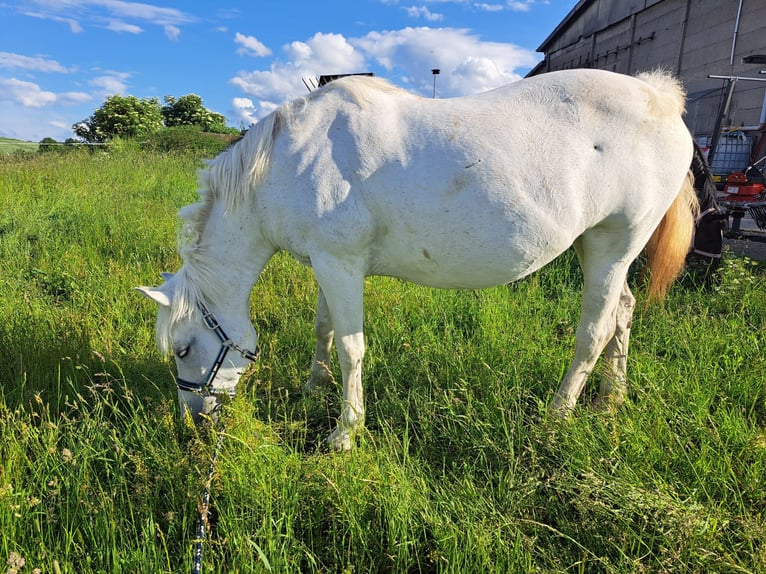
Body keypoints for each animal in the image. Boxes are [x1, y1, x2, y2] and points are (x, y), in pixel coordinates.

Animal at [138, 70, 704, 452]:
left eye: (184, 349)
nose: (196, 419)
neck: (286, 162)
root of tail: (661, 96)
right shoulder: (327, 262)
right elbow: (324, 329)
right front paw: (312, 390)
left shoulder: (341, 264)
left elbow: (351, 348)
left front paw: (345, 433)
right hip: (601, 250)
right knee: (623, 311)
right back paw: (611, 401)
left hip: (613, 245)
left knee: (595, 329)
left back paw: (557, 415)